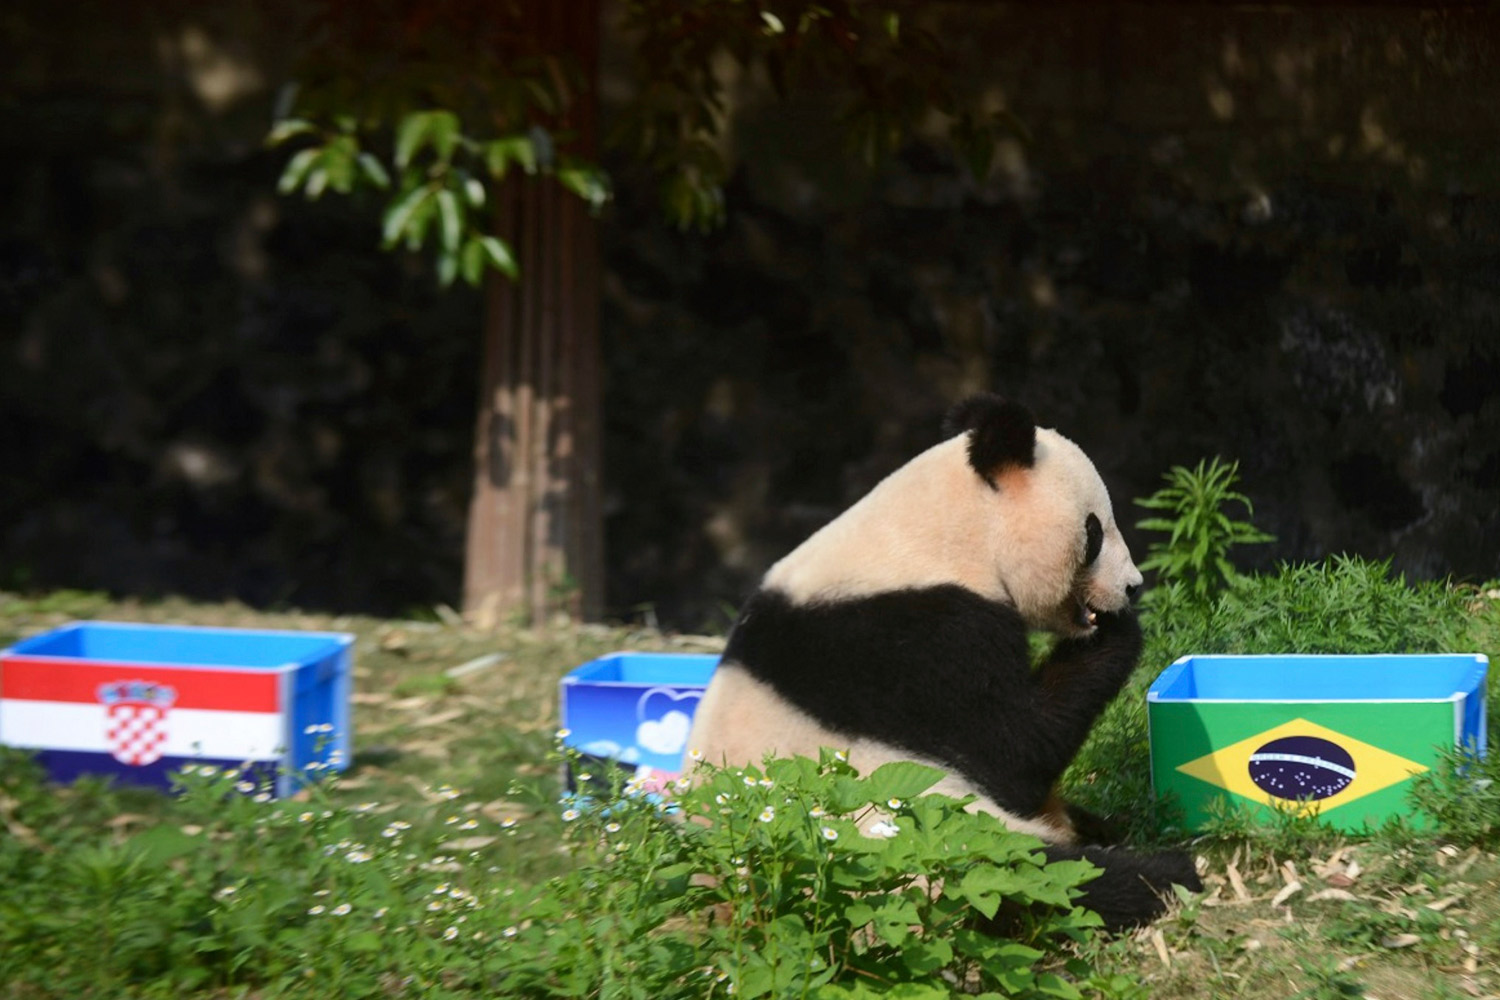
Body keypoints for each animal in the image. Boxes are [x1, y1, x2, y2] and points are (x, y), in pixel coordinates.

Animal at [685, 393, 1201, 929]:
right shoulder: (918, 640)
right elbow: (1013, 750)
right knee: (1042, 877)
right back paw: (1166, 873)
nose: (1132, 586)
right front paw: (1121, 627)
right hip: (924, 850)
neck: (943, 535)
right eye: (1095, 530)